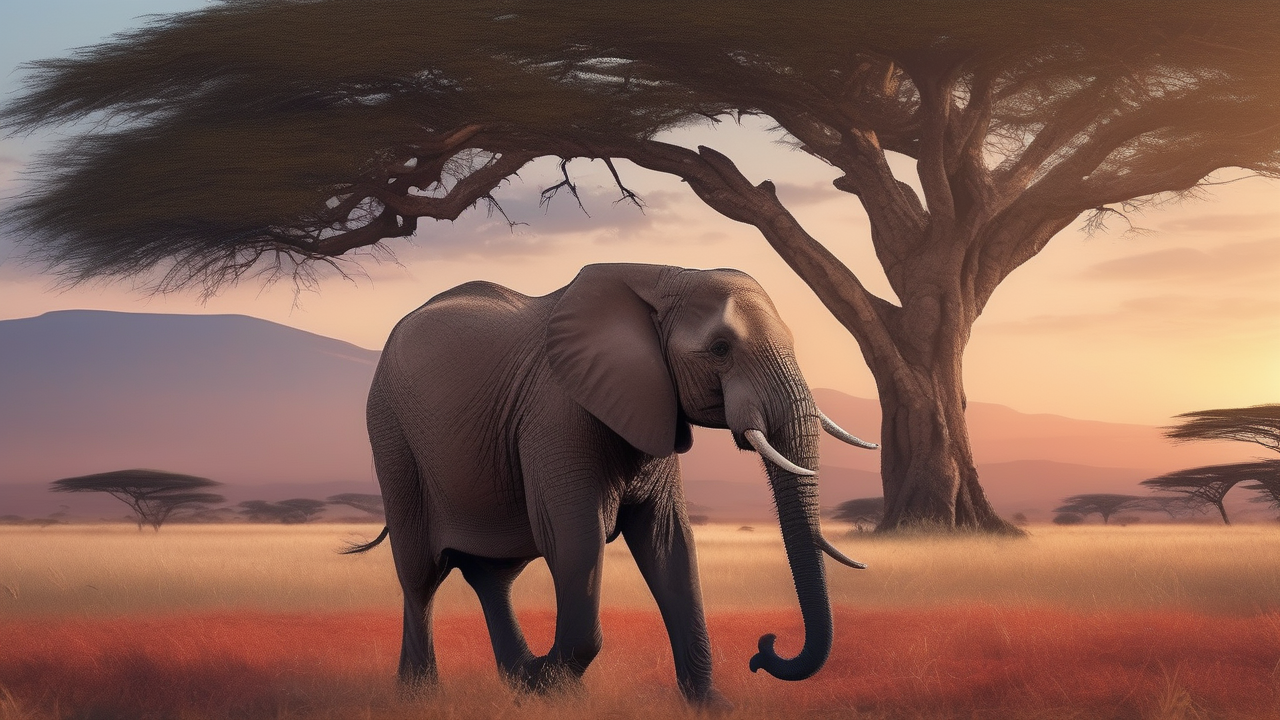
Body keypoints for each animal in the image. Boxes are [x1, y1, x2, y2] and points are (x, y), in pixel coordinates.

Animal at [345, 263, 877, 705]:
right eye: (721, 349)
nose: (763, 650)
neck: (662, 277)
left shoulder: (653, 404)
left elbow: (668, 544)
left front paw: (711, 706)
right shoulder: (556, 416)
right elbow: (574, 539)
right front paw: (554, 688)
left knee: (492, 574)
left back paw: (518, 679)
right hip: (391, 435)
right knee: (420, 575)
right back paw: (424, 694)